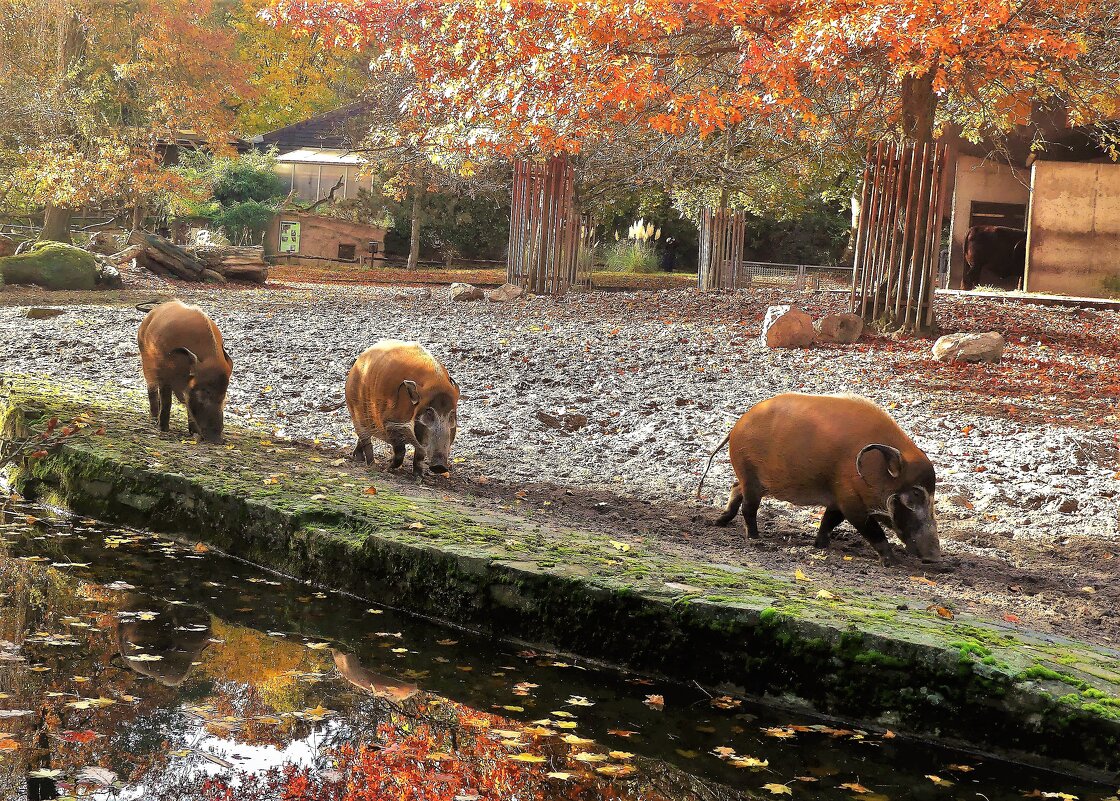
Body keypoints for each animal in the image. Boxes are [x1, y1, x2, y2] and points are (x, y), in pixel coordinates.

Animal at [136, 300, 231, 445]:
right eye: (203, 393)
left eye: (224, 396)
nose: (218, 440)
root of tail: (152, 311)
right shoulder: (164, 373)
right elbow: (166, 400)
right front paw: (163, 428)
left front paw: (193, 432)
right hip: (145, 360)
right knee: (151, 388)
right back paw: (154, 418)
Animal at [344, 340, 459, 477]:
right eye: (429, 412)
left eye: (451, 414)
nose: (440, 466)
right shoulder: (390, 424)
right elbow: (400, 452)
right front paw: (387, 469)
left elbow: (419, 456)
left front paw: (418, 476)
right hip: (356, 415)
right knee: (366, 440)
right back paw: (371, 464)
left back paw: (358, 458)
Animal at [694, 392, 940, 566]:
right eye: (915, 494)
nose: (934, 557)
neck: (874, 471)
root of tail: (736, 426)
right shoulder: (851, 501)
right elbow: (871, 529)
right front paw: (893, 562)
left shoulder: (838, 499)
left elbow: (829, 521)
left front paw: (821, 546)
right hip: (751, 477)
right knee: (748, 507)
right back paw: (754, 537)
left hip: (751, 479)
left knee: (735, 488)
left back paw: (719, 522)